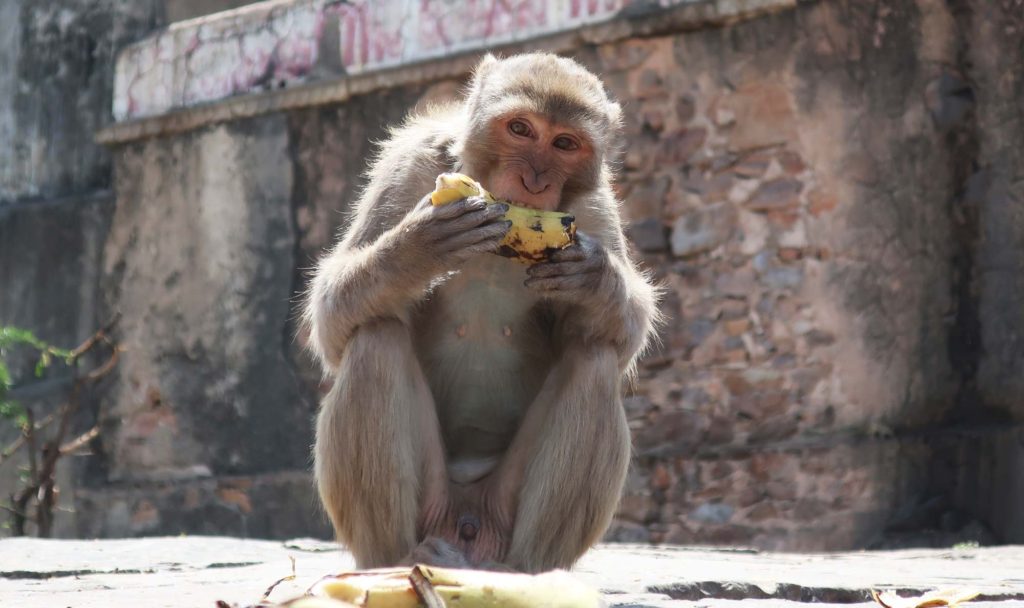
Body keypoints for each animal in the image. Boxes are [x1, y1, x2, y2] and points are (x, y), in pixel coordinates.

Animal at [303, 53, 658, 573]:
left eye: (564, 143)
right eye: (520, 129)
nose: (535, 180)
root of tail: (466, 529)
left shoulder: (594, 207)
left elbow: (619, 338)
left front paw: (594, 275)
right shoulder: (406, 165)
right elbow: (330, 319)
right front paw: (416, 248)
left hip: (498, 508)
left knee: (594, 359)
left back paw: (526, 571)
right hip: (435, 506)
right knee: (374, 339)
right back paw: (399, 560)